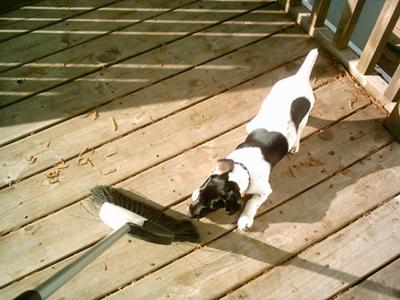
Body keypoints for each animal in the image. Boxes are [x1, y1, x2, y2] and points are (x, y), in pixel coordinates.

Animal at [188, 48, 318, 230]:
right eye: (202, 192)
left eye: (213, 206)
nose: (190, 213)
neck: (242, 168)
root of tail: (300, 78)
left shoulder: (265, 191)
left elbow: (251, 203)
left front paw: (245, 219)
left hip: (305, 115)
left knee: (299, 129)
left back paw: (295, 145)